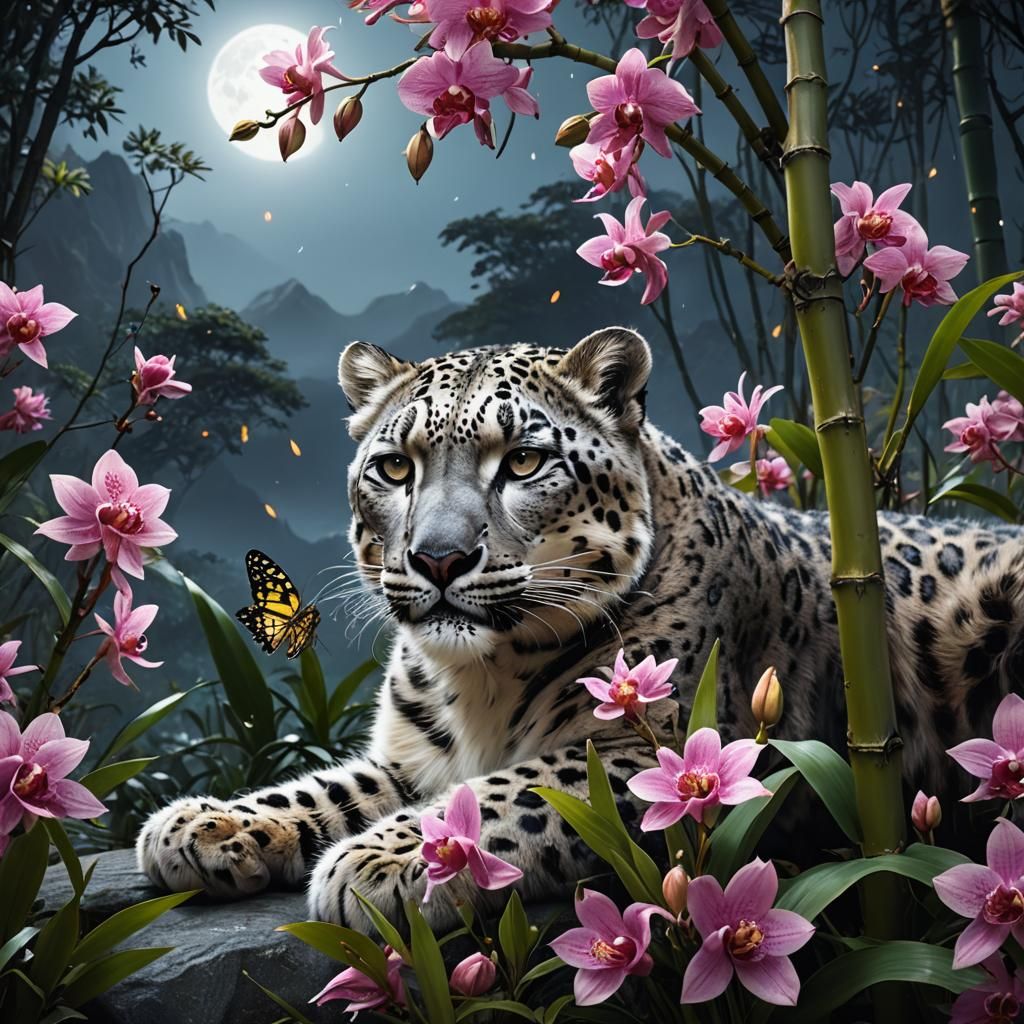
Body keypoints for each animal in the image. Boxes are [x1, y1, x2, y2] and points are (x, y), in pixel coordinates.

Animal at [137, 327, 1024, 931]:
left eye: (524, 462)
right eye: (394, 469)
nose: (438, 558)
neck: (477, 678)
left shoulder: (668, 750)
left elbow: (513, 791)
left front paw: (386, 858)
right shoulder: (410, 758)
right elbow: (329, 787)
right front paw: (206, 823)